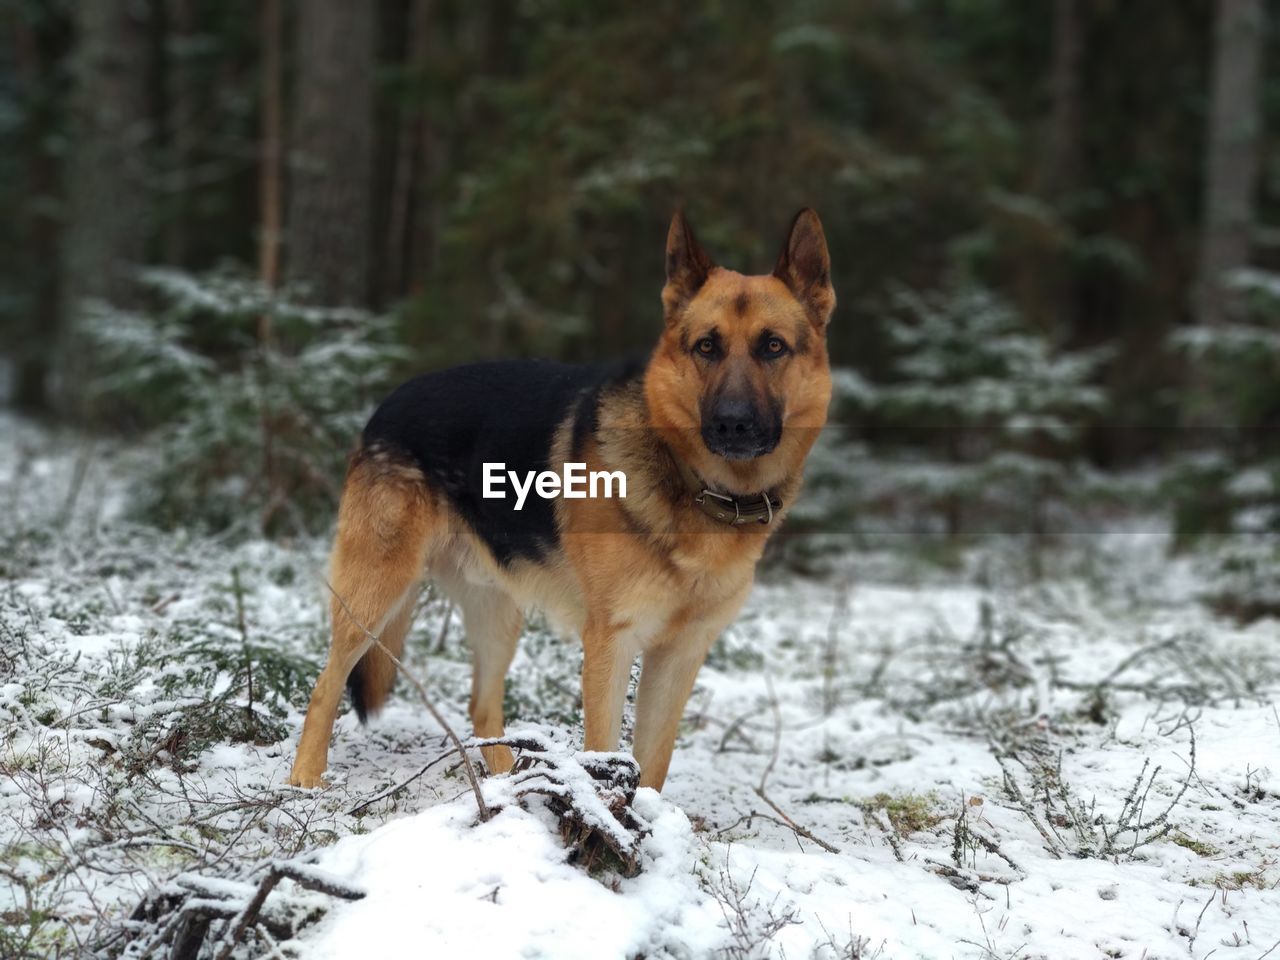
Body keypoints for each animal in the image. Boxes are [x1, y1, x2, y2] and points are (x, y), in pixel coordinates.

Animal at [286, 207, 834, 793]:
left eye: (773, 346)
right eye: (706, 346)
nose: (733, 424)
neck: (696, 485)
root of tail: (389, 400)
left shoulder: (680, 656)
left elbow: (653, 765)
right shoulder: (610, 645)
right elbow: (605, 752)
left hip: (499, 613)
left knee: (482, 707)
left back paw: (502, 788)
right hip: (374, 594)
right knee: (325, 685)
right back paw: (305, 780)